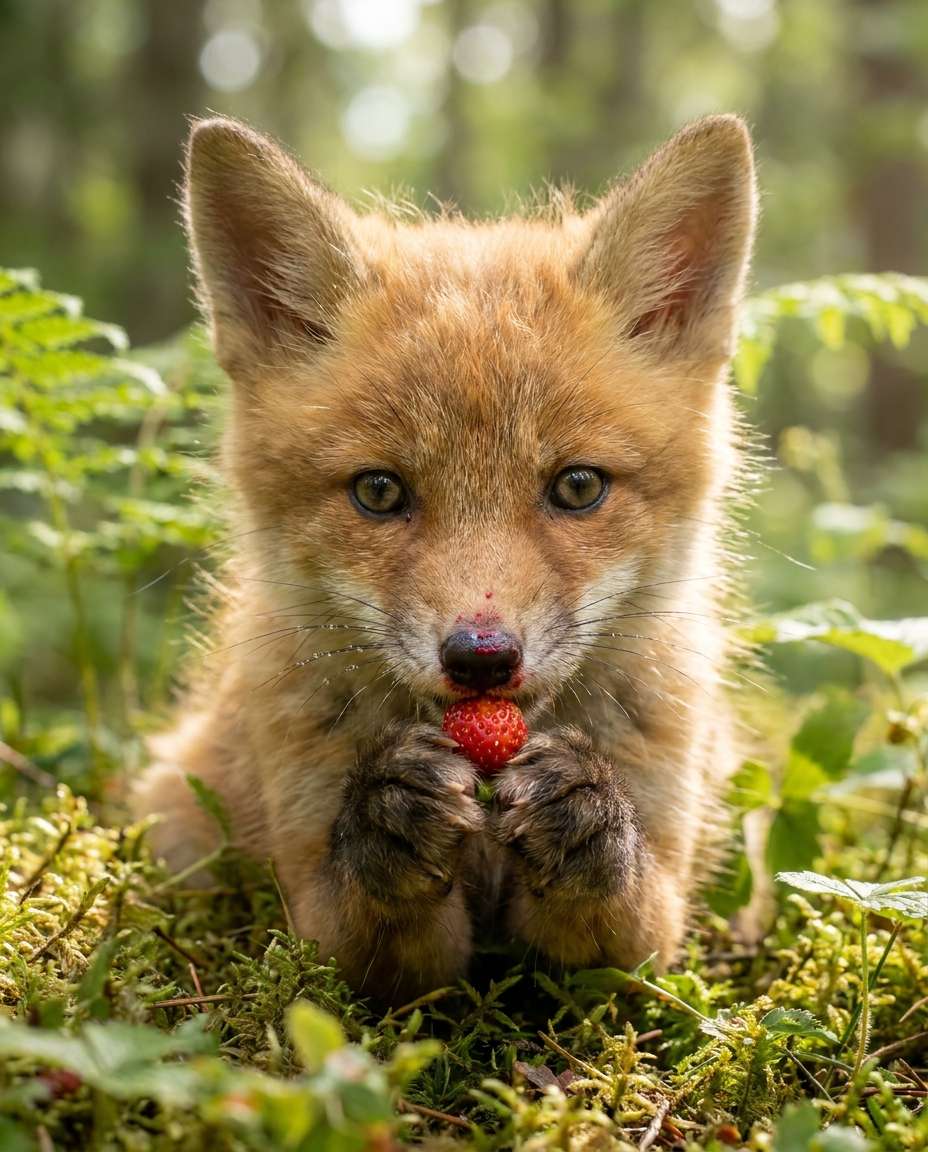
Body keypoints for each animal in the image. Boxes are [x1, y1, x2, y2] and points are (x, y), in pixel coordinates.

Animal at [134, 113, 758, 1002]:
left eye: (577, 486)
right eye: (379, 492)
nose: (481, 658)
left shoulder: (648, 939)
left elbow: (624, 914)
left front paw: (585, 811)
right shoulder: (324, 930)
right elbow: (362, 918)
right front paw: (390, 817)